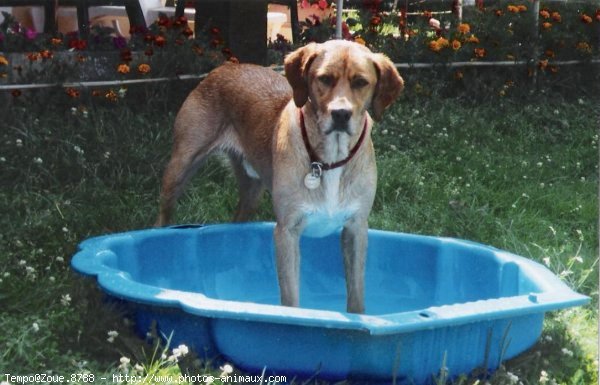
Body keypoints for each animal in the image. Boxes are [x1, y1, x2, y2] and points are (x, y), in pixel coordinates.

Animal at [156, 40, 404, 314]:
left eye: (361, 82)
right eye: (324, 79)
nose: (340, 114)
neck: (329, 161)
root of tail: (226, 67)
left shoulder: (356, 228)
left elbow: (356, 295)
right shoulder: (287, 231)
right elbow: (291, 298)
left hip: (251, 192)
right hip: (181, 167)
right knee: (163, 213)